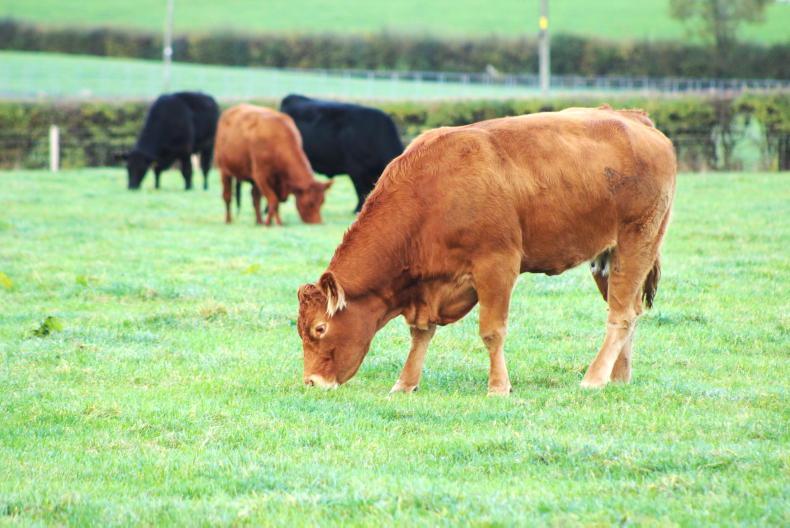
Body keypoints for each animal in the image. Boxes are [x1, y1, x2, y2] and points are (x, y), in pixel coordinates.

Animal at [297, 106, 676, 395]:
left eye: (320, 329)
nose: (312, 382)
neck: (431, 192)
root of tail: (633, 117)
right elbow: (420, 334)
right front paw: (405, 384)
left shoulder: (497, 266)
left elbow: (492, 331)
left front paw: (498, 386)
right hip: (606, 258)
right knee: (629, 310)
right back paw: (618, 376)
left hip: (637, 241)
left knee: (621, 315)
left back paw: (594, 377)